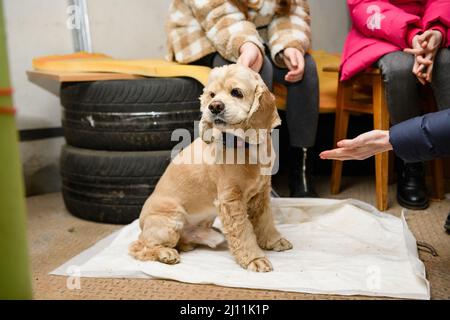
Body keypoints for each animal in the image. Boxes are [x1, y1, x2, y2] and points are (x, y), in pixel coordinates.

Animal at [128, 63, 294, 272]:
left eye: (236, 92)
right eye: (212, 95)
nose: (214, 106)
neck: (245, 145)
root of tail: (142, 223)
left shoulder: (261, 192)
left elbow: (265, 220)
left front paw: (274, 241)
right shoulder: (230, 200)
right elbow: (243, 231)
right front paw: (254, 259)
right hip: (171, 220)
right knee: (138, 246)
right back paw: (166, 254)